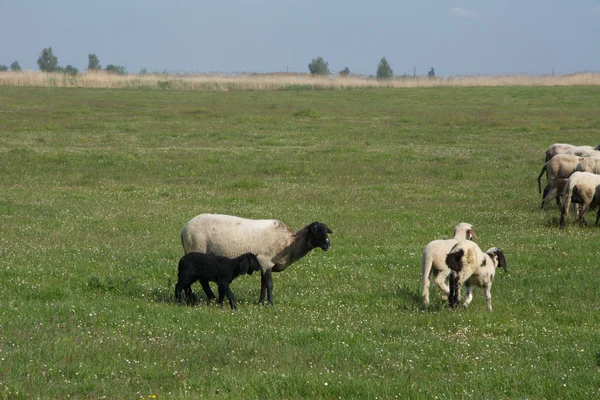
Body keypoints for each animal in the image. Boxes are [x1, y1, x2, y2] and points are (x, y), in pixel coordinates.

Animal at [182, 214, 332, 304]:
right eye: (315, 230)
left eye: (326, 230)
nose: (327, 243)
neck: (289, 242)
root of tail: (184, 229)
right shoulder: (265, 260)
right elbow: (269, 284)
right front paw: (270, 304)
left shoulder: (263, 263)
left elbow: (263, 283)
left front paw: (261, 303)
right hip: (197, 249)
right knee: (200, 279)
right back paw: (208, 299)